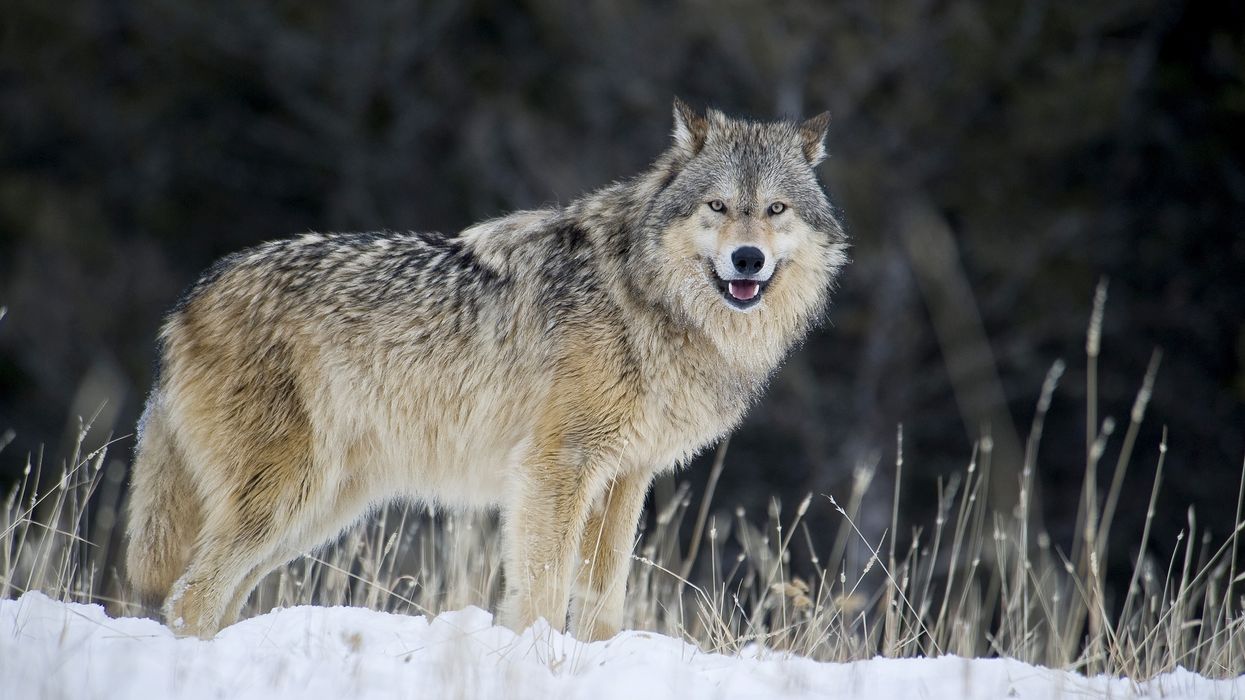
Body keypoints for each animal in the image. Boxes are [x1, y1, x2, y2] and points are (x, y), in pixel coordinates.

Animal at [124, 99, 848, 640]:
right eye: (718, 207)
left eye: (775, 209)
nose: (748, 259)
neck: (644, 299)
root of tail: (187, 301)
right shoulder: (555, 468)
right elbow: (541, 589)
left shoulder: (625, 478)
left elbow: (602, 599)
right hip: (288, 497)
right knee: (190, 596)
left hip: (318, 509)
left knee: (214, 597)